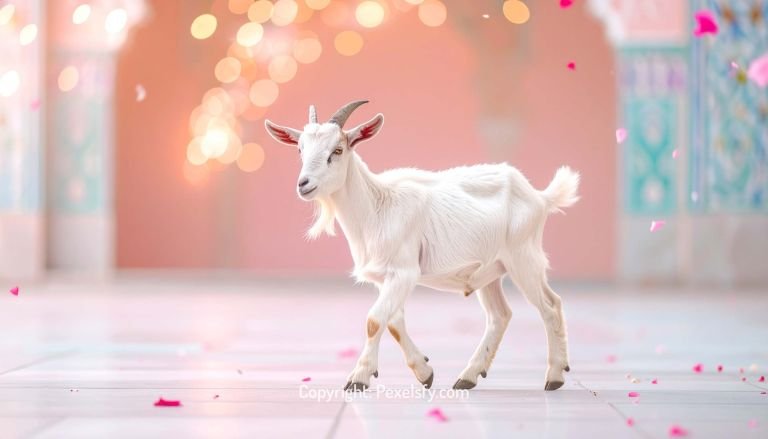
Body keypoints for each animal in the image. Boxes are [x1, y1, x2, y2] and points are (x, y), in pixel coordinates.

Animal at [265, 100, 579, 392]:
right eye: (300, 150)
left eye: (337, 150)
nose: (304, 184)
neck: (377, 207)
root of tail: (539, 196)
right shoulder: (386, 278)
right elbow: (394, 323)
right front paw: (424, 372)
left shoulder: (404, 271)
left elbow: (374, 320)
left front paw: (359, 378)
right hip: (492, 270)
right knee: (500, 315)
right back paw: (468, 376)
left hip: (523, 257)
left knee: (550, 306)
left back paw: (554, 376)